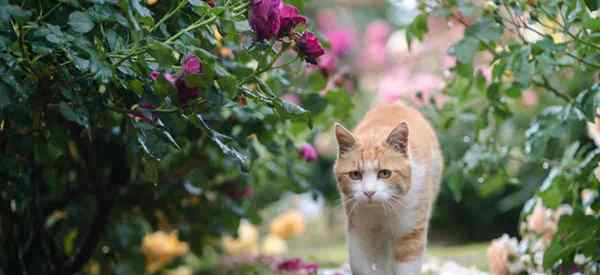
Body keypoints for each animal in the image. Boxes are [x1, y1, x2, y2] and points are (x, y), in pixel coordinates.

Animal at [330, 102, 442, 274]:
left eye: (385, 173)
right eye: (355, 174)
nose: (369, 192)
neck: (381, 212)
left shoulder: (410, 231)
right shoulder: (358, 230)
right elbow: (362, 265)